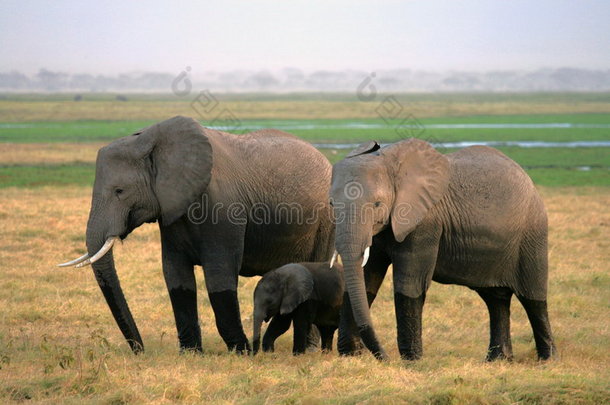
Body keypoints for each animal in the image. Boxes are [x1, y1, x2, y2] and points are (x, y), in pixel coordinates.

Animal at [58, 115, 332, 352]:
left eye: (119, 191)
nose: (140, 350)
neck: (150, 140)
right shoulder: (171, 210)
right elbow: (176, 275)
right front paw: (191, 353)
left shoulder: (223, 210)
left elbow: (219, 275)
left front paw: (242, 352)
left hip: (327, 221)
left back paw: (307, 349)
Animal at [330, 138, 552, 360]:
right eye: (331, 204)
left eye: (377, 204)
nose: (385, 357)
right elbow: (366, 279)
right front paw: (350, 355)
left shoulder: (425, 223)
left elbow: (410, 286)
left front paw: (412, 360)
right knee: (496, 299)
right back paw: (497, 360)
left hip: (532, 234)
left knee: (533, 299)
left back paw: (546, 359)